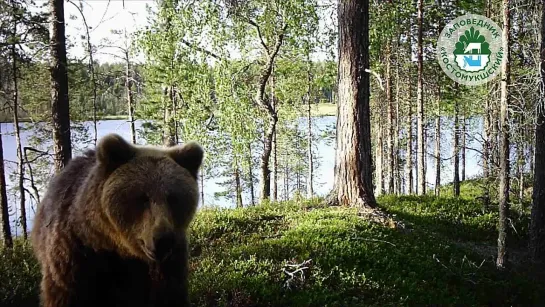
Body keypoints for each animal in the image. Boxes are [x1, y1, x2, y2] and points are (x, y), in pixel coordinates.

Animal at [30, 134, 203, 307]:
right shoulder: (74, 253)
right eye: (142, 197)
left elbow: (170, 295)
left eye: (173, 198)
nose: (163, 239)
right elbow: (64, 292)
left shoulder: (170, 264)